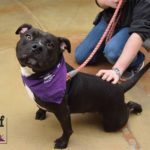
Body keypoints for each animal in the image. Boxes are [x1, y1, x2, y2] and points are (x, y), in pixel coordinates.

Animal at [15, 23, 149, 149]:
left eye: (50, 45)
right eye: (28, 36)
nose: (37, 47)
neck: (41, 76)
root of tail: (119, 87)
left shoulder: (63, 111)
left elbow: (67, 129)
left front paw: (63, 142)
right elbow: (40, 105)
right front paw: (41, 112)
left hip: (113, 120)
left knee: (128, 107)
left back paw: (137, 108)